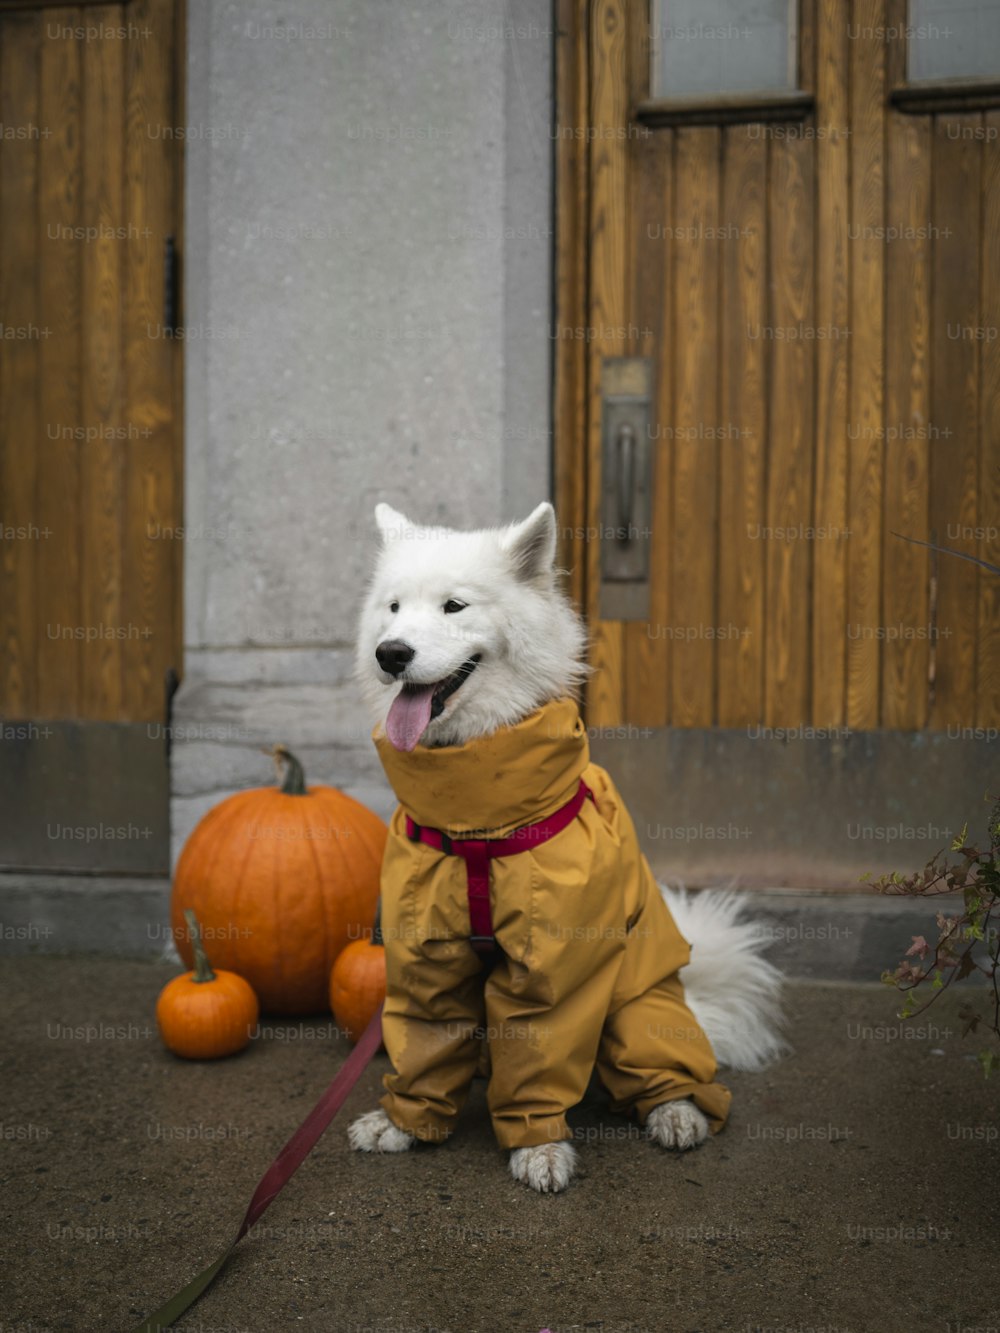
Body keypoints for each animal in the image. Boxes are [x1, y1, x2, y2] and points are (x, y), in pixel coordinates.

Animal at [349, 503, 789, 1194]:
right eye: (393, 608)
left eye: (454, 605)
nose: (390, 654)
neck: (476, 819)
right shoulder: (425, 959)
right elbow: (424, 1041)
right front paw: (402, 1122)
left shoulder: (554, 965)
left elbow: (540, 1052)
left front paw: (539, 1145)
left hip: (640, 1004)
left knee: (661, 1070)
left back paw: (676, 1111)